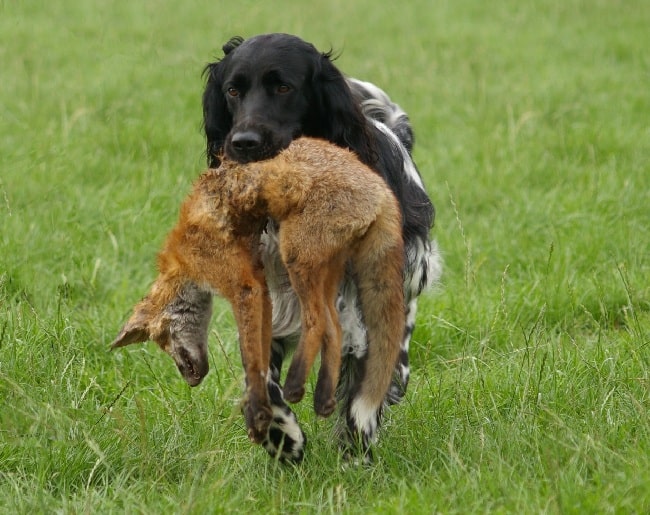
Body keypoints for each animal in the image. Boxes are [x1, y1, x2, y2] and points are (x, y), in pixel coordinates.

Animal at [112, 138, 404, 464]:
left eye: (162, 339)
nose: (189, 380)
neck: (183, 258)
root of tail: (382, 191)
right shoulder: (262, 291)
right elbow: (258, 356)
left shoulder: (246, 287)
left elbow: (251, 360)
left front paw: (258, 416)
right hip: (325, 273)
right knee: (333, 329)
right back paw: (322, 400)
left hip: (296, 257)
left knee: (316, 322)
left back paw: (295, 386)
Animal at [200, 33, 438, 464]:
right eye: (232, 90)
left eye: (283, 87)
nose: (243, 143)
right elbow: (263, 380)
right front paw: (283, 439)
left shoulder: (361, 311)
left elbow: (361, 401)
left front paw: (355, 460)